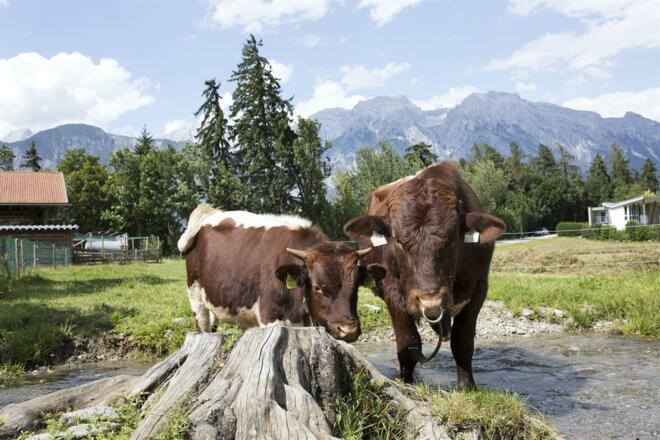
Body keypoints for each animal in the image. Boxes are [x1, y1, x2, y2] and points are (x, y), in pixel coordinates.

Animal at [178, 204, 383, 342]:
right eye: (317, 287)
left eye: (357, 285)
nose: (348, 330)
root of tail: (210, 214)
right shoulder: (270, 318)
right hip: (195, 295)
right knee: (202, 325)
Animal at [343, 163, 506, 388]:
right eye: (397, 240)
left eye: (453, 237)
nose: (431, 300)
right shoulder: (392, 289)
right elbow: (409, 343)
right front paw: (406, 381)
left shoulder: (480, 286)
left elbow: (462, 342)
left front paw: (467, 386)